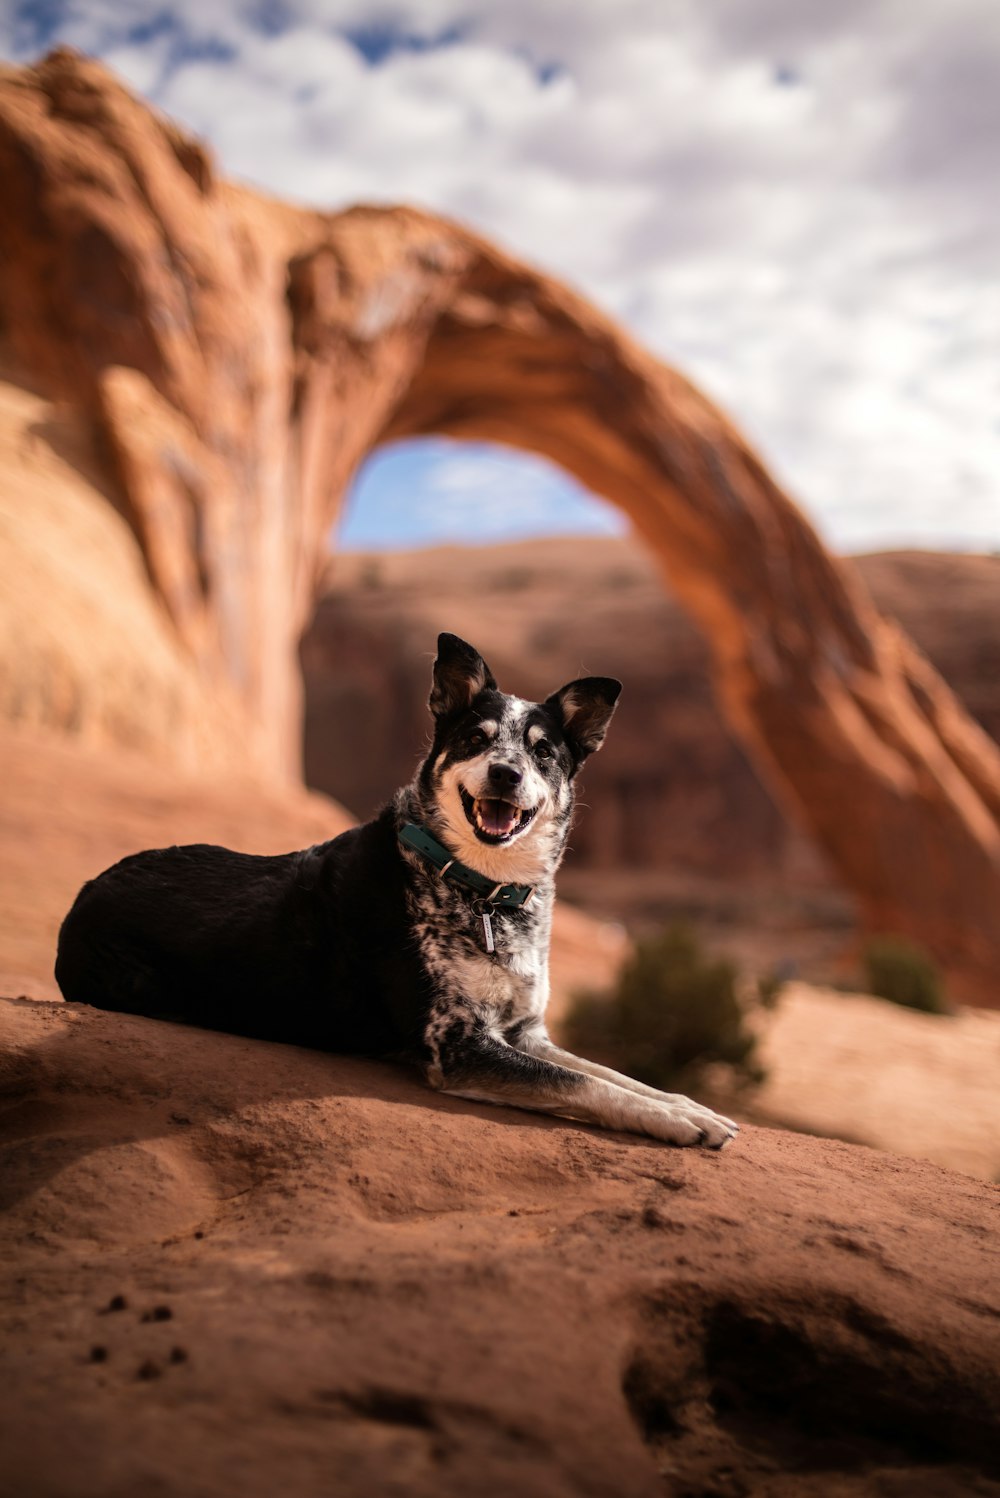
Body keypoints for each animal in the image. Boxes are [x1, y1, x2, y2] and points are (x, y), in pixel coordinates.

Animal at [58, 632, 739, 1144]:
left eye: (544, 753)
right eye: (475, 739)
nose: (506, 772)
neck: (480, 888)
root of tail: (86, 890)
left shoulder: (526, 1033)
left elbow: (615, 1075)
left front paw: (689, 1105)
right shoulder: (458, 1046)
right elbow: (588, 1085)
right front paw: (679, 1122)